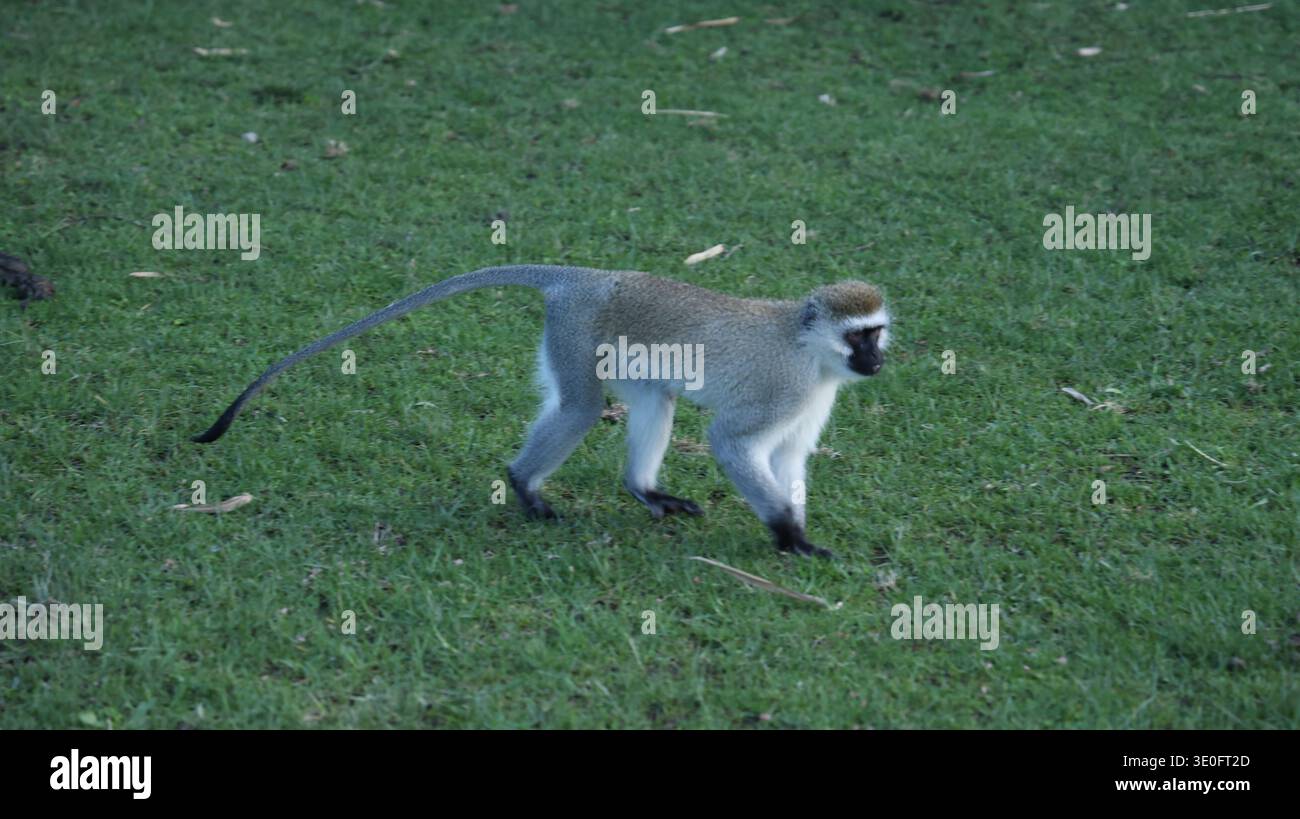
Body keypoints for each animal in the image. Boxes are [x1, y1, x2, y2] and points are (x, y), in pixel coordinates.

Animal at [193, 265, 890, 557]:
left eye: (876, 333)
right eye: (858, 336)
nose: (878, 361)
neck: (810, 349)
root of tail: (587, 277)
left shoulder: (813, 399)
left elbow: (790, 458)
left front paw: (793, 529)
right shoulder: (787, 387)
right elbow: (732, 443)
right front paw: (791, 537)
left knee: (651, 400)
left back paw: (645, 490)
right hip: (577, 335)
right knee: (581, 406)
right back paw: (524, 485)